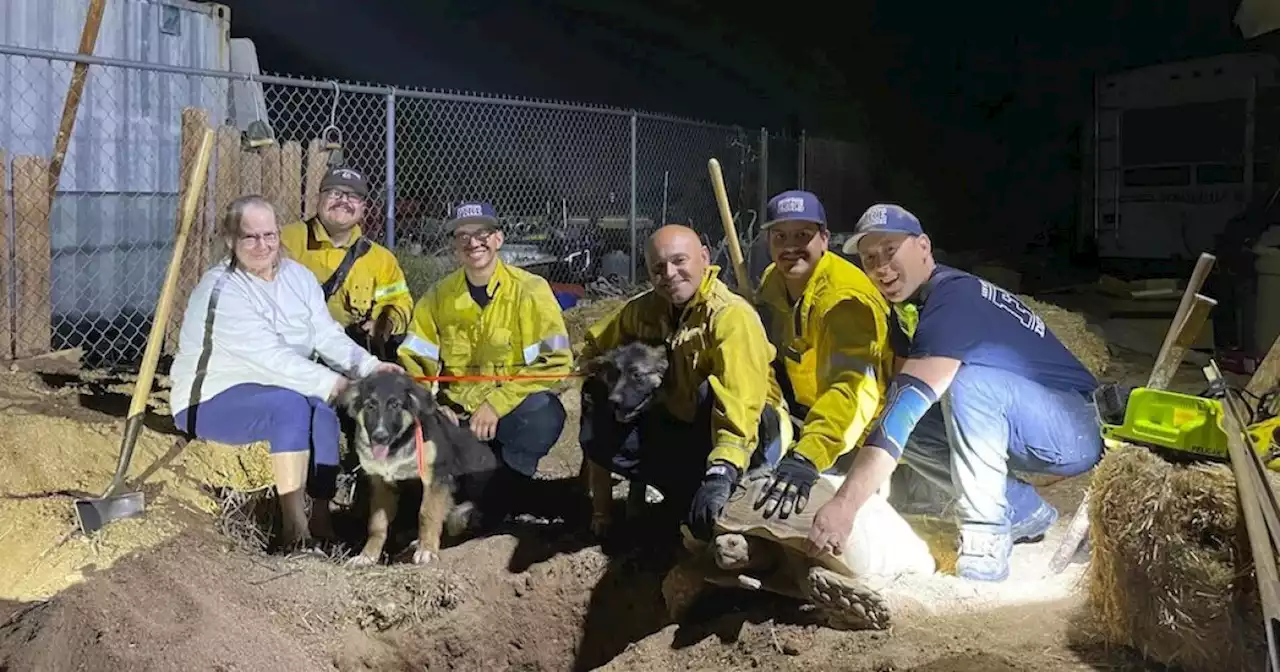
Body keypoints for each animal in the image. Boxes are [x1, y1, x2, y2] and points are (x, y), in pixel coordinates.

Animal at [340, 368, 499, 563]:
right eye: (370, 406)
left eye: (395, 405)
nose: (380, 437)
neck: (396, 449)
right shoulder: (381, 484)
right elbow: (377, 524)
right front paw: (367, 556)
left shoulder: (435, 478)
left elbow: (427, 514)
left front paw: (427, 550)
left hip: (464, 511)